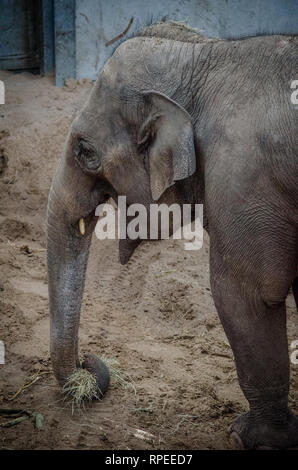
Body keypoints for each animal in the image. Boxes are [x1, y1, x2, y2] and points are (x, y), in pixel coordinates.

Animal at [47, 22, 298, 448]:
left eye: (85, 151)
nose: (89, 361)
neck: (205, 53)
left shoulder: (244, 178)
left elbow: (244, 293)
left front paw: (250, 437)